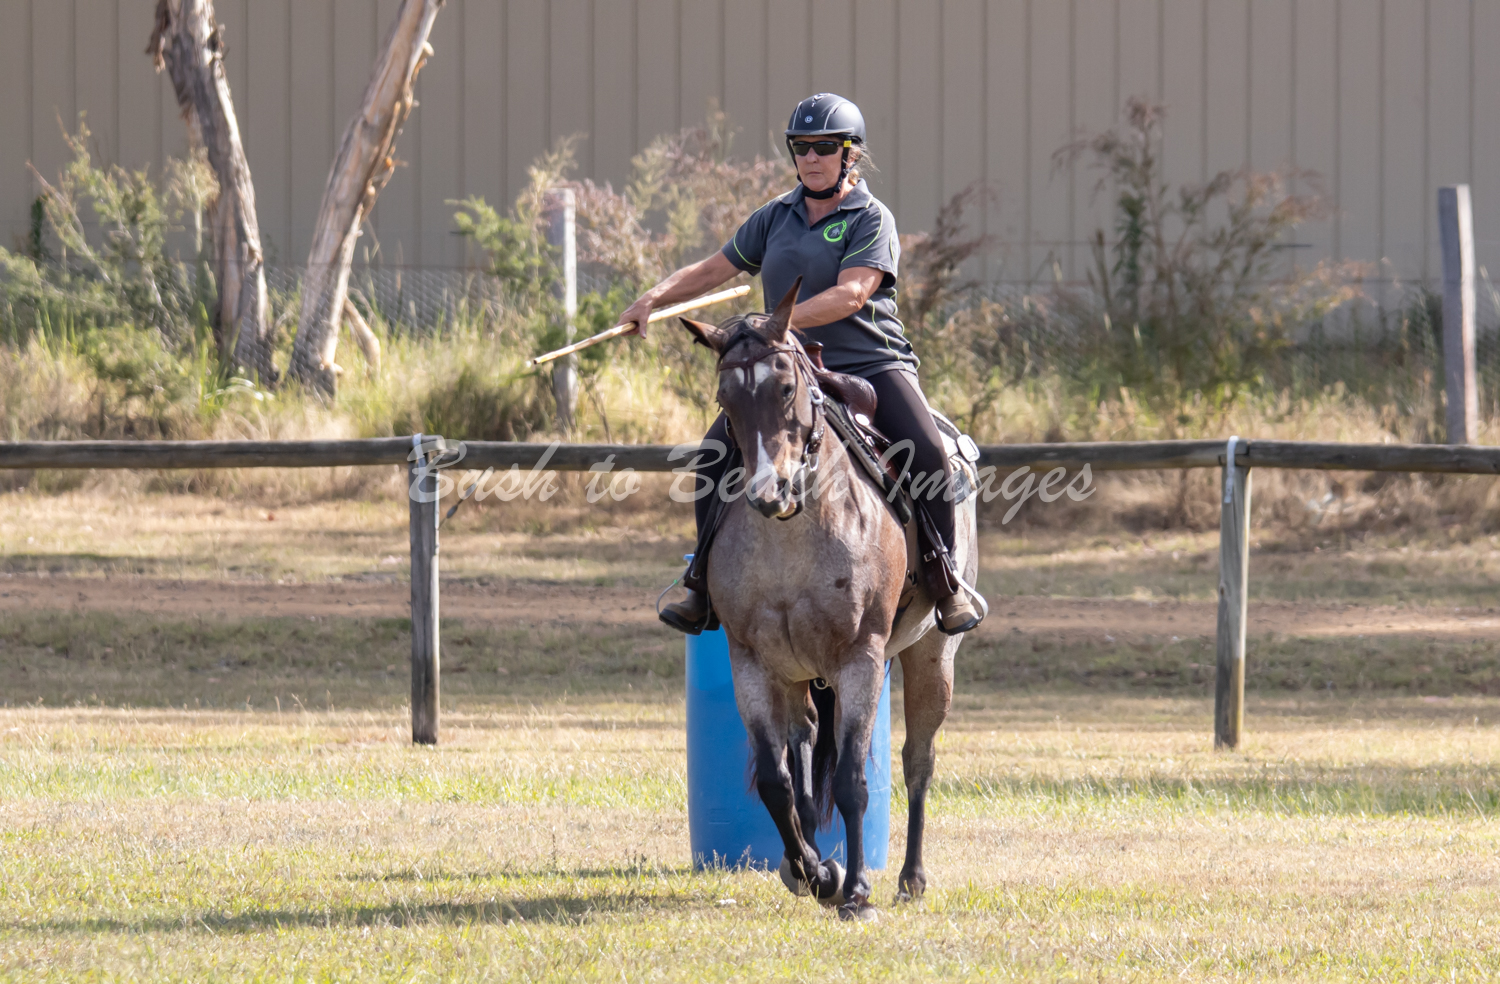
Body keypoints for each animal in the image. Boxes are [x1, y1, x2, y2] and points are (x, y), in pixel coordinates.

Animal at [679, 280, 979, 921]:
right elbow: (778, 780)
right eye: (725, 398)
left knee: (917, 762)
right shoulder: (753, 664)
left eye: (786, 388)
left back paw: (909, 878)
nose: (768, 490)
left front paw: (857, 891)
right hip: (800, 674)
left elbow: (850, 782)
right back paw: (811, 866)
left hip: (931, 657)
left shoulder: (860, 660)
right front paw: (817, 874)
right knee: (805, 745)